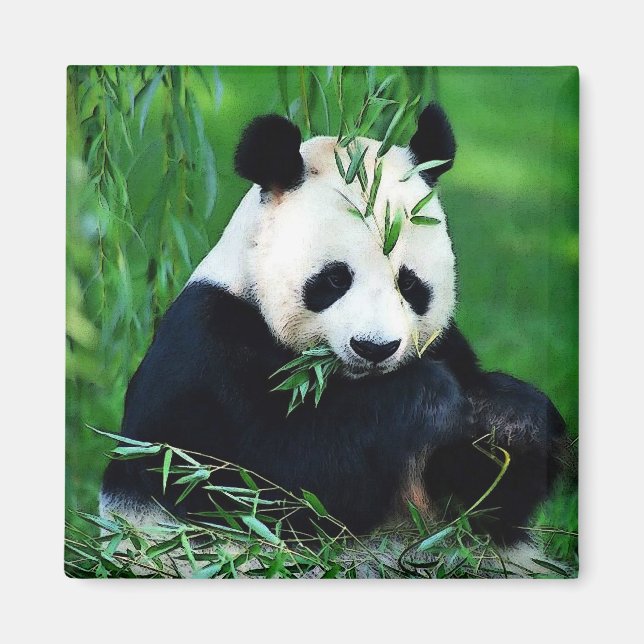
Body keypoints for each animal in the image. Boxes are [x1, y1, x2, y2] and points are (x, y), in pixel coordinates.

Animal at [100, 104, 566, 555]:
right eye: (335, 279)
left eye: (409, 284)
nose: (374, 348)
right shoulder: (204, 351)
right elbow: (265, 483)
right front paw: (426, 395)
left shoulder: (446, 345)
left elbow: (485, 503)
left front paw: (510, 418)